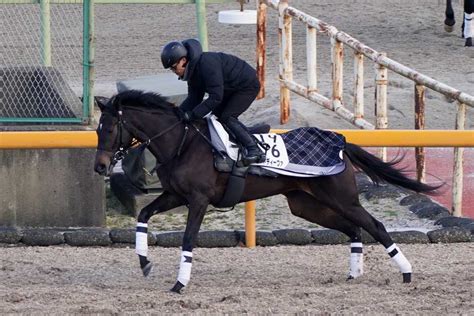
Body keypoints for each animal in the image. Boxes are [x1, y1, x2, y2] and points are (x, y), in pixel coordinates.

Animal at [92, 89, 440, 294]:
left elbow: (188, 238)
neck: (182, 143)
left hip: (342, 198)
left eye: (109, 129)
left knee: (374, 225)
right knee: (353, 228)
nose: (100, 166)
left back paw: (407, 273)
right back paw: (354, 274)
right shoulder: (175, 196)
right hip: (306, 203)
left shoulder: (198, 200)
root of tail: (340, 142)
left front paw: (180, 283)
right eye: (97, 129)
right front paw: (144, 262)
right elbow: (143, 213)